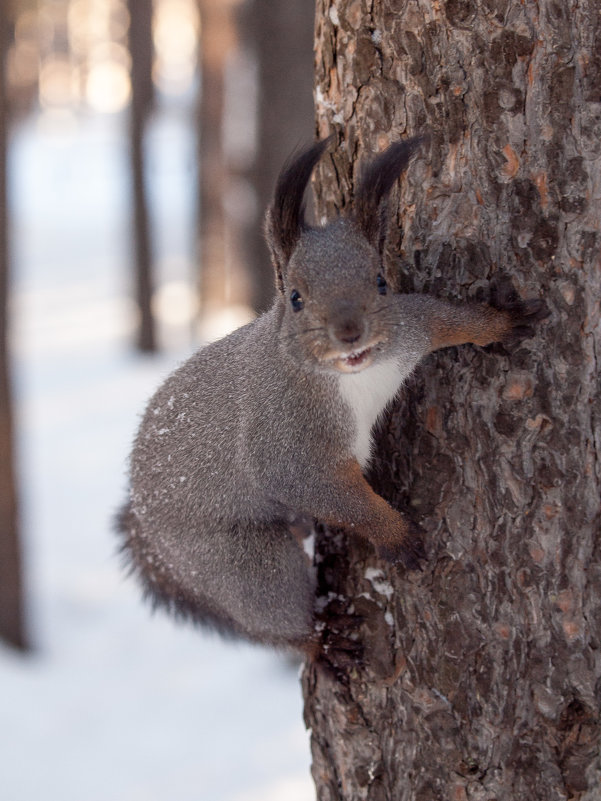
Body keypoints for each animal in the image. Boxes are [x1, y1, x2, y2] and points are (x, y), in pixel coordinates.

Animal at [115, 136, 548, 664]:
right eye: (296, 297)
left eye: (380, 281)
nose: (349, 332)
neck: (355, 375)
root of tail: (144, 515)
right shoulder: (287, 440)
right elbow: (329, 492)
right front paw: (396, 536)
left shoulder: (411, 327)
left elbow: (449, 319)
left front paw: (499, 322)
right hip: (238, 563)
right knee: (272, 609)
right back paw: (320, 639)